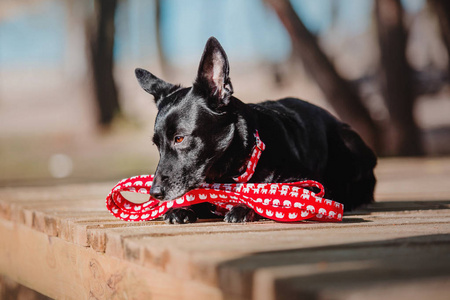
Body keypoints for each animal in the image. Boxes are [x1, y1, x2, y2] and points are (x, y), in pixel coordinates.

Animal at [134, 37, 376, 223]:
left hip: (350, 144)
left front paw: (245, 207)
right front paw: (179, 207)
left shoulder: (309, 184)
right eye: (157, 144)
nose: (155, 193)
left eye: (179, 138)